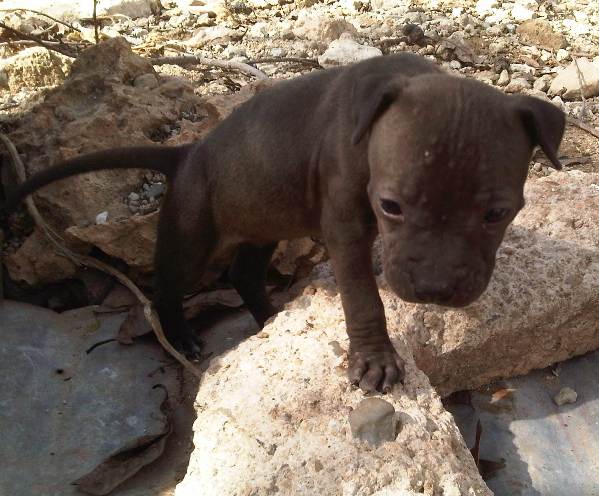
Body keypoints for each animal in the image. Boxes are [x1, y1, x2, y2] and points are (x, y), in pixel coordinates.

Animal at [2, 53, 565, 393]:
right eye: (391, 206)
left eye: (497, 214)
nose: (434, 290)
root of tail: (186, 154)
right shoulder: (345, 229)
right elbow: (363, 299)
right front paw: (375, 360)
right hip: (191, 236)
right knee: (168, 287)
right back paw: (182, 337)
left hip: (260, 224)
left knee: (244, 274)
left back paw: (270, 316)